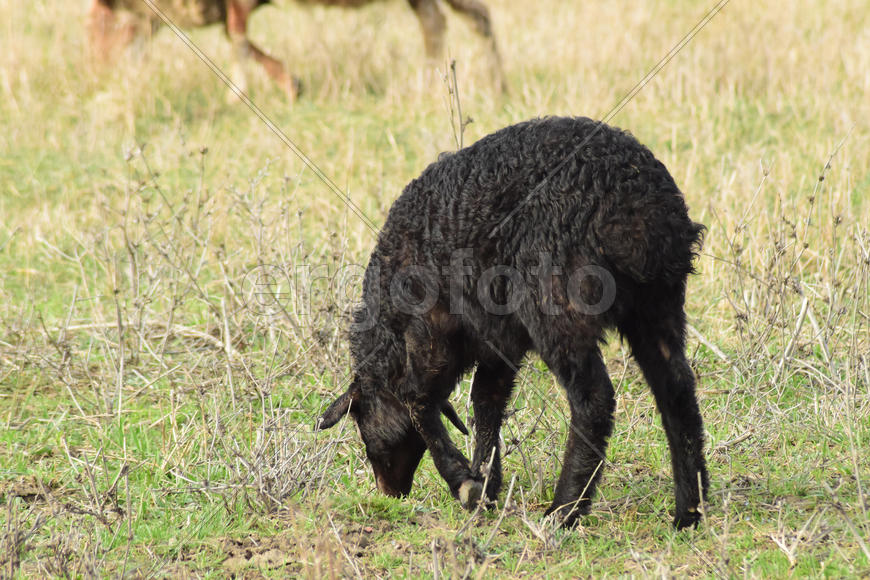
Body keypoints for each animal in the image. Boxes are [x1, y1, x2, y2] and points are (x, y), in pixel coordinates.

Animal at [317, 116, 708, 529]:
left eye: (362, 425)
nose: (388, 493)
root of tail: (638, 204)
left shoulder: (432, 329)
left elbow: (417, 397)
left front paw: (463, 482)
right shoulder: (498, 341)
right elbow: (486, 402)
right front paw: (485, 487)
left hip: (558, 305)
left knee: (594, 400)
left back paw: (564, 510)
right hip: (658, 304)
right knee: (677, 391)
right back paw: (688, 511)